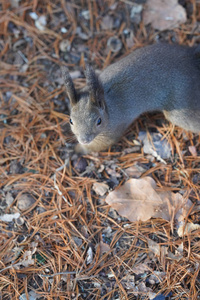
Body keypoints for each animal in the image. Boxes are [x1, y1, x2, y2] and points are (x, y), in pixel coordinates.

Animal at [61, 43, 200, 154]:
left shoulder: (113, 132)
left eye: (99, 121)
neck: (108, 105)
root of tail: (192, 59)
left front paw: (76, 149)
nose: (84, 140)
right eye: (71, 121)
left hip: (179, 108)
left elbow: (97, 146)